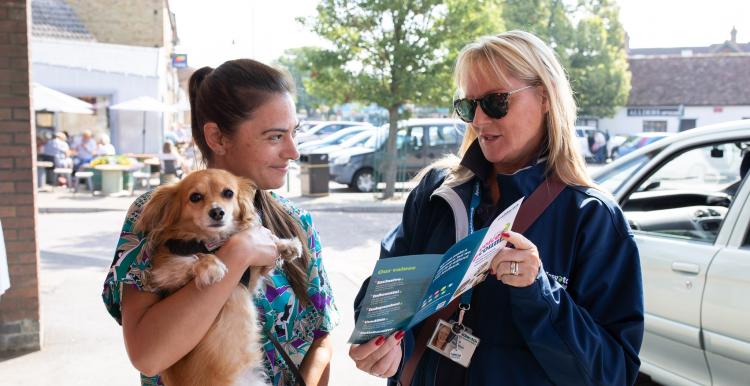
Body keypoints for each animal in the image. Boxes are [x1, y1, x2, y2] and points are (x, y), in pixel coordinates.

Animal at [135, 169, 302, 386]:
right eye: (195, 197)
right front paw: (211, 265)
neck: (213, 243)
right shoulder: (164, 271)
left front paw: (285, 245)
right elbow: (193, 259)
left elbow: (262, 264)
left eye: (228, 193)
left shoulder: (247, 281)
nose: (217, 212)